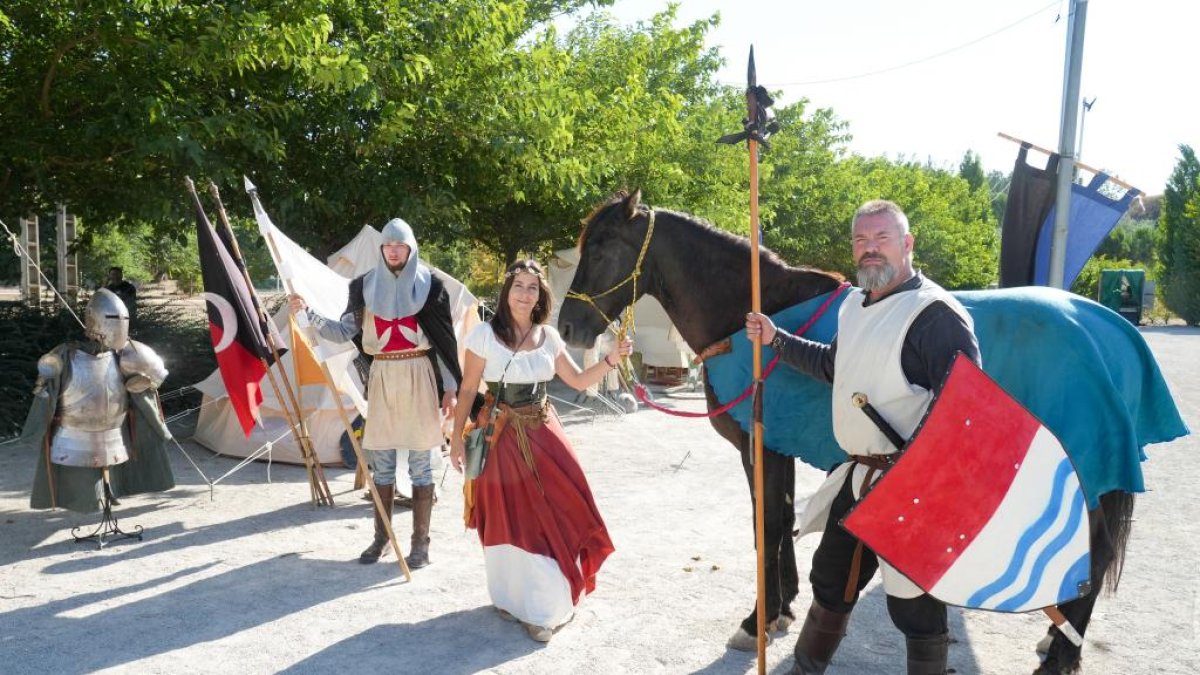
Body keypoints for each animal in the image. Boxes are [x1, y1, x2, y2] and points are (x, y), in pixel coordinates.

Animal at [554, 186, 1161, 667]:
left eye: (602, 246)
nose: (568, 327)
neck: (748, 312)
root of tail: (1110, 329)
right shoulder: (774, 446)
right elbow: (779, 520)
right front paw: (783, 608)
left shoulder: (760, 445)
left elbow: (767, 522)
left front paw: (757, 620)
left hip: (1091, 467)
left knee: (1098, 548)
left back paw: (1061, 655)